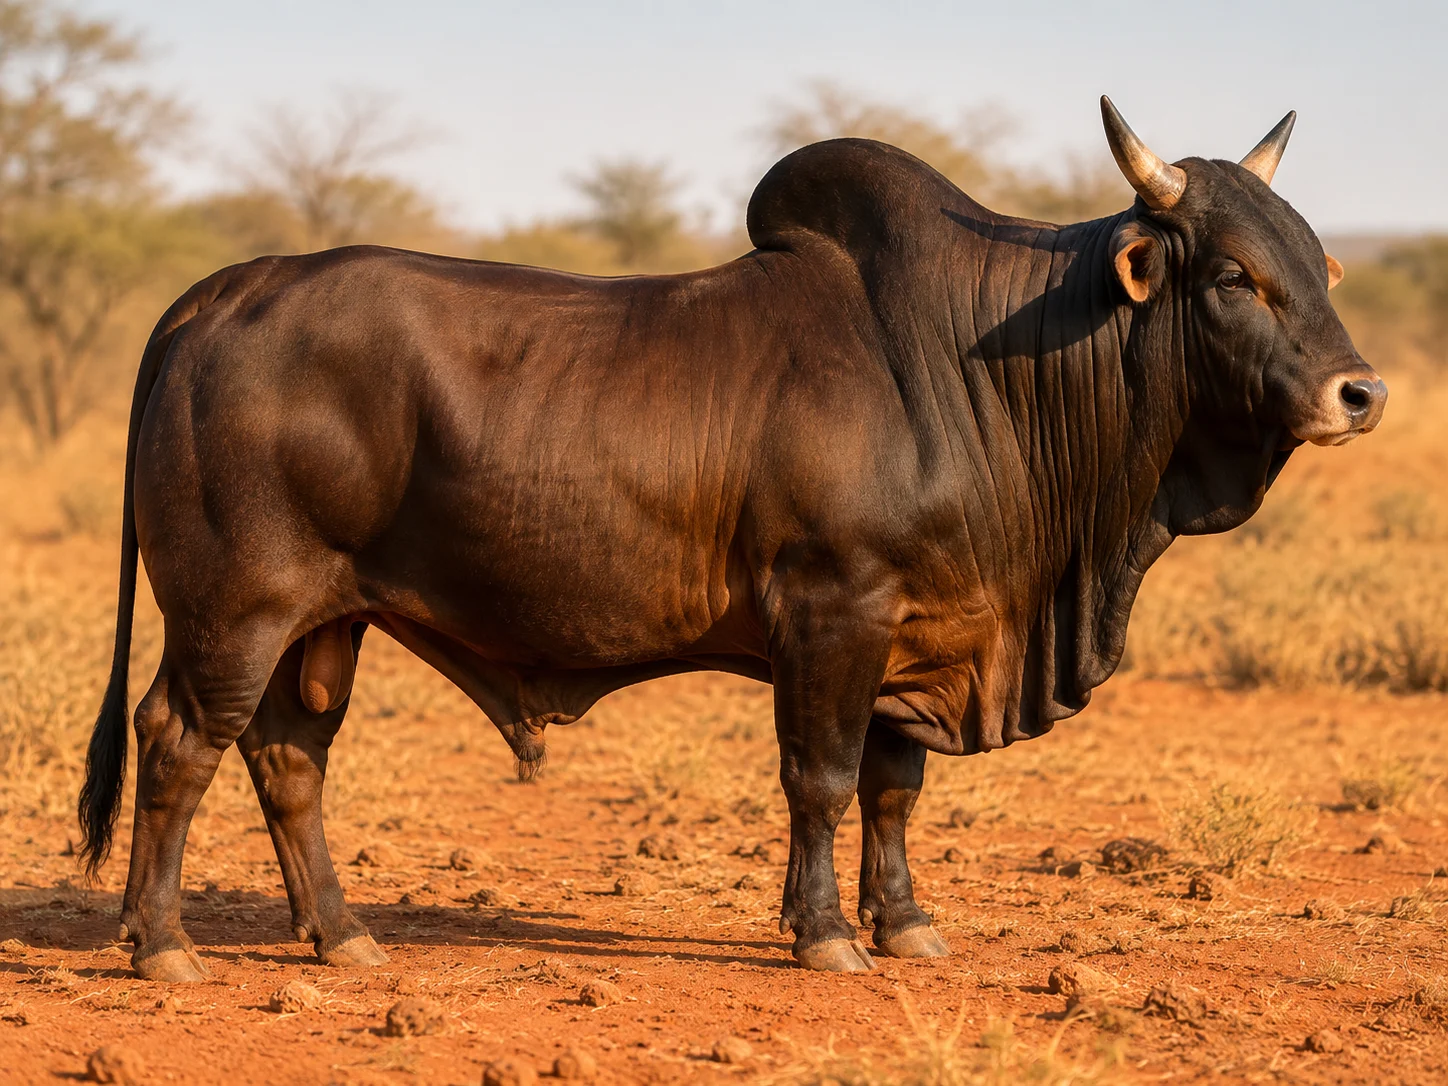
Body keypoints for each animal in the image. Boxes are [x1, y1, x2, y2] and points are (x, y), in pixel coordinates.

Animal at [77, 98, 1385, 981]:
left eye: (1317, 264)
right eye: (1232, 275)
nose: (1358, 392)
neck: (978, 370)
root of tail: (220, 293)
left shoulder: (911, 639)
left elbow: (892, 790)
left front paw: (905, 926)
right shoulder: (832, 613)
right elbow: (819, 779)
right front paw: (824, 938)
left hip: (326, 624)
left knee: (287, 760)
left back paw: (342, 938)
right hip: (234, 611)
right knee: (179, 742)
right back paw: (162, 944)